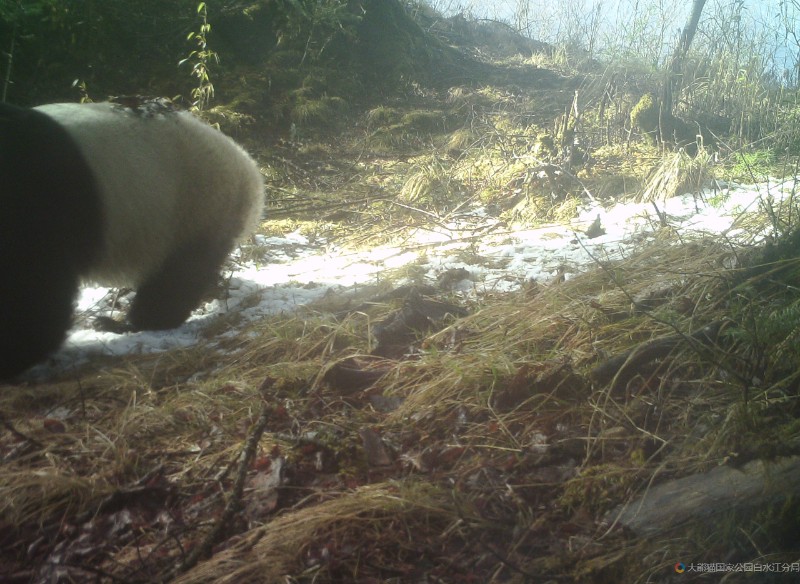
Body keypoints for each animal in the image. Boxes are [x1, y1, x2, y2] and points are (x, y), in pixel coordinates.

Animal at [1, 100, 268, 378]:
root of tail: (246, 163)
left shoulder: (39, 199)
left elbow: (32, 285)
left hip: (195, 206)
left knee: (176, 276)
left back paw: (128, 323)